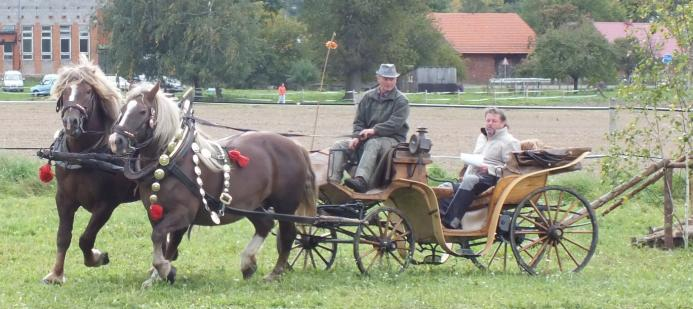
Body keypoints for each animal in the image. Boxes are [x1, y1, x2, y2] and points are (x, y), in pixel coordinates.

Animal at [108, 82, 316, 284]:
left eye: (142, 111)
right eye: (123, 109)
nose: (115, 141)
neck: (172, 160)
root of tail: (298, 147)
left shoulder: (182, 213)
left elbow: (159, 236)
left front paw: (162, 269)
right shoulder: (155, 213)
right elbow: (165, 243)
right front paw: (157, 276)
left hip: (285, 206)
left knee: (288, 234)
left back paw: (275, 273)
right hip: (252, 205)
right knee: (265, 225)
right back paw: (247, 264)